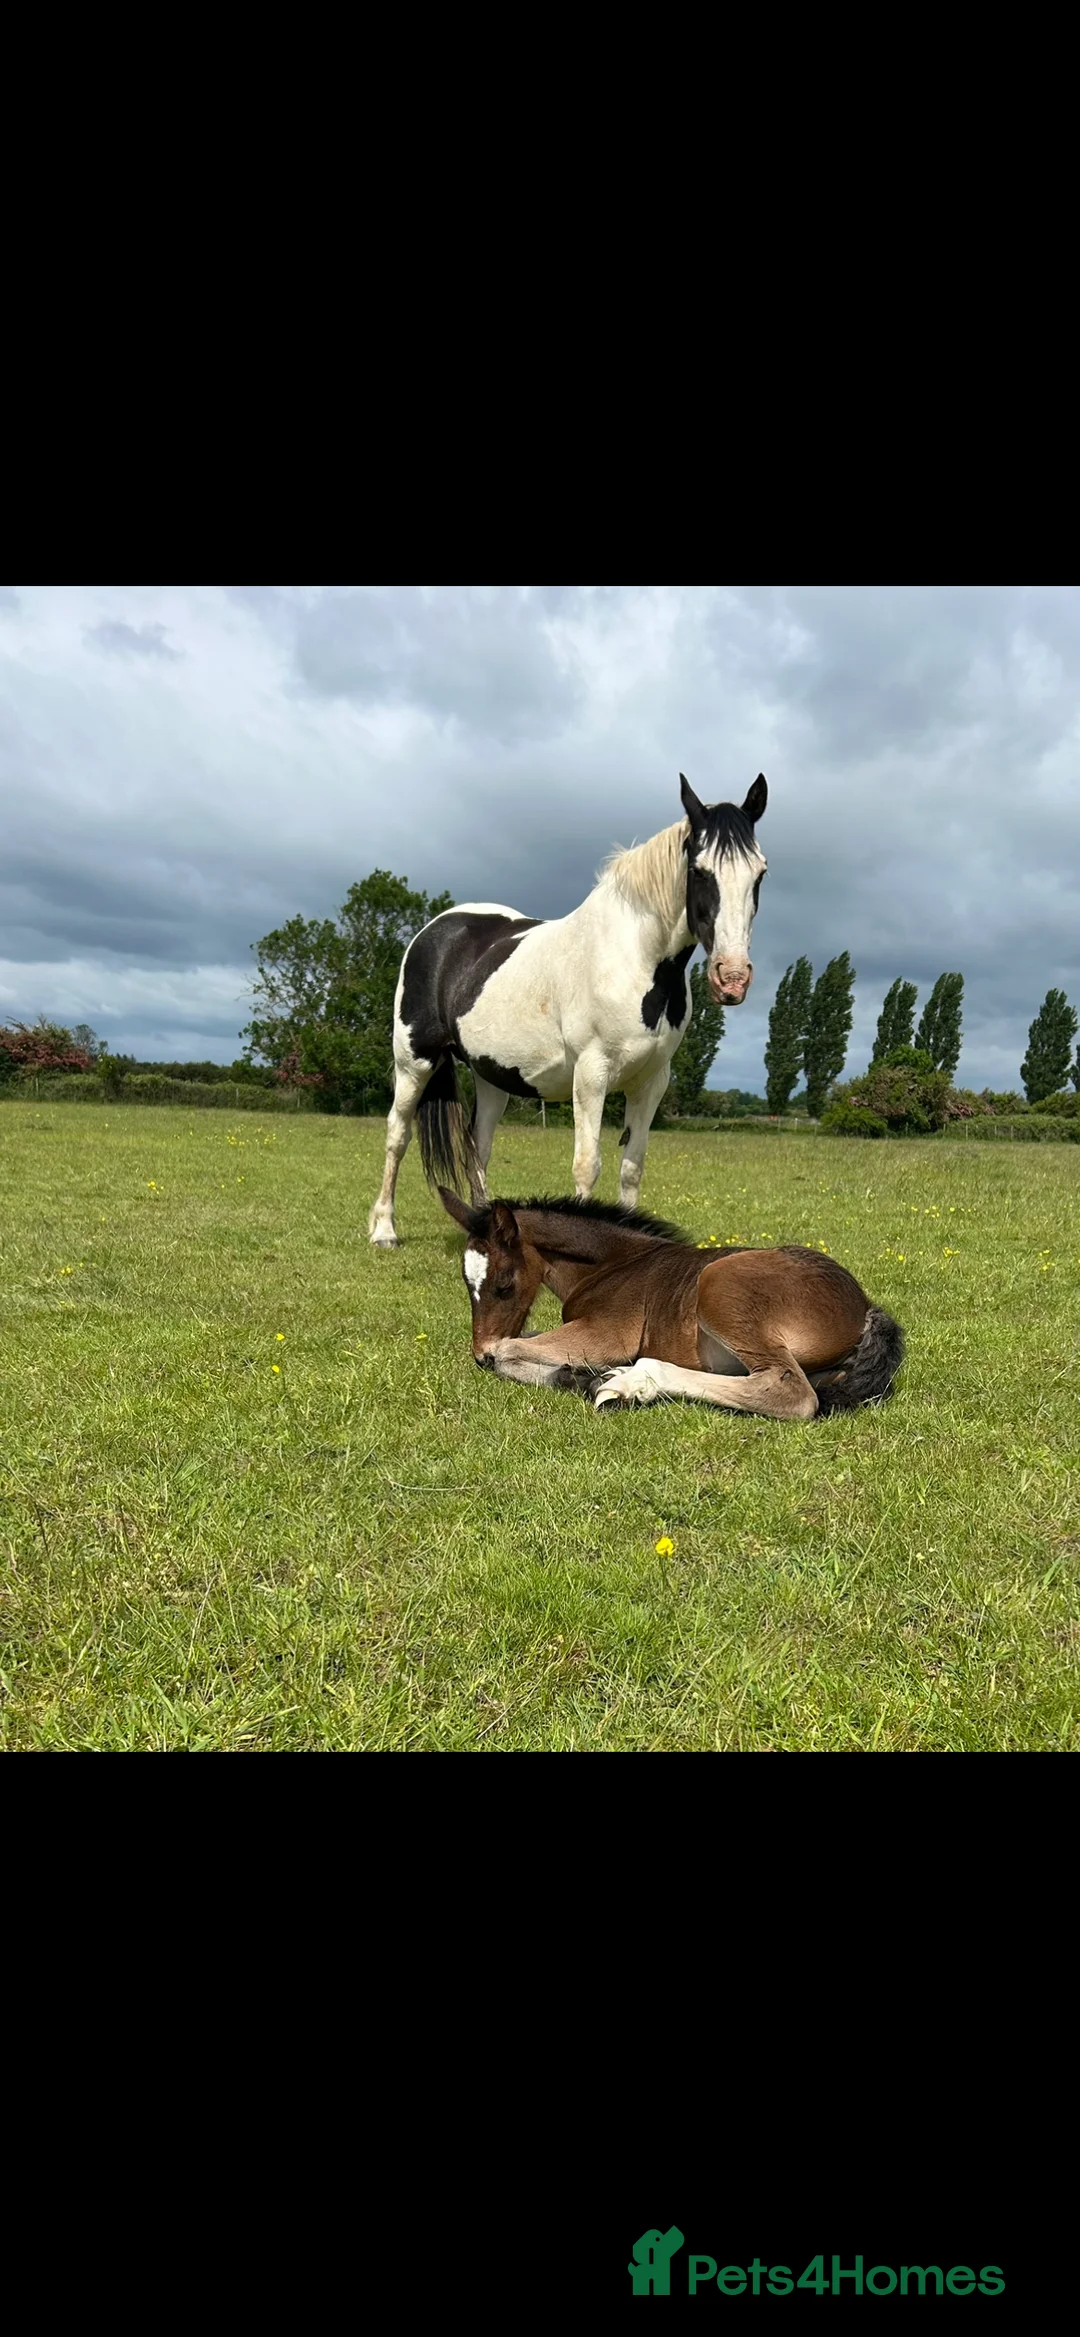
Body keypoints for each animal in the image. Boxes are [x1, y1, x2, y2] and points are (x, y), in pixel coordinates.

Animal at [367, 771, 768, 1247]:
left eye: (760, 873)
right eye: (698, 870)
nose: (732, 978)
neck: (634, 958)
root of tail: (436, 929)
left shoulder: (651, 1082)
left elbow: (631, 1168)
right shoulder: (592, 1075)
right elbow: (587, 1166)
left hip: (491, 1077)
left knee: (477, 1148)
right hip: (414, 1062)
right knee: (398, 1134)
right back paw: (384, 1230)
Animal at [438, 1190, 906, 1422]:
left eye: (504, 1284)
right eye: (466, 1282)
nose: (478, 1352)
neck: (615, 1262)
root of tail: (865, 1308)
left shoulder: (607, 1333)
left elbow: (509, 1352)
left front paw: (589, 1377)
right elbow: (521, 1346)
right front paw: (577, 1374)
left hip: (720, 1284)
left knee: (791, 1393)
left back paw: (634, 1382)